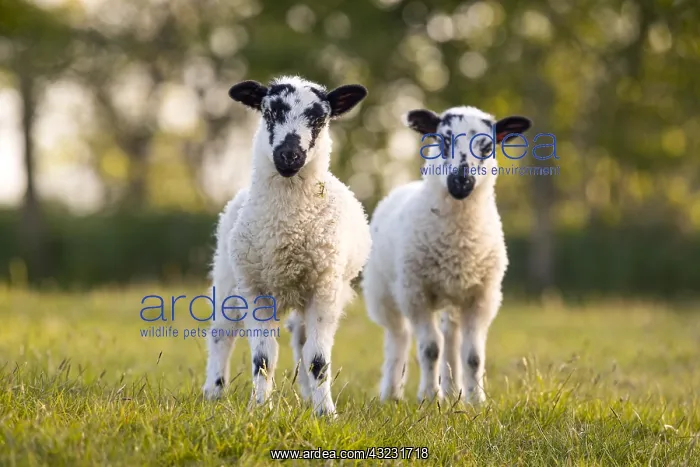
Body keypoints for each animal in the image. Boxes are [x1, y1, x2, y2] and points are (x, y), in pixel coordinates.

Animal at [201, 75, 371, 417]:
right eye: (269, 112)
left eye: (319, 119)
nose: (289, 155)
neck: (287, 229)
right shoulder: (256, 291)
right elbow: (263, 359)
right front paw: (259, 409)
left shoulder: (324, 290)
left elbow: (317, 360)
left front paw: (325, 413)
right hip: (227, 279)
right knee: (221, 334)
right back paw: (213, 391)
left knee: (302, 343)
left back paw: (307, 395)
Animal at [361, 105, 531, 405]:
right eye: (443, 140)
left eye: (487, 147)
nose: (461, 182)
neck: (458, 242)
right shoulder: (416, 293)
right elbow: (430, 348)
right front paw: (429, 397)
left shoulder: (482, 297)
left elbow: (473, 355)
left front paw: (476, 401)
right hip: (384, 293)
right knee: (399, 338)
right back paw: (391, 393)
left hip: (453, 298)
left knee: (451, 337)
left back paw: (454, 391)